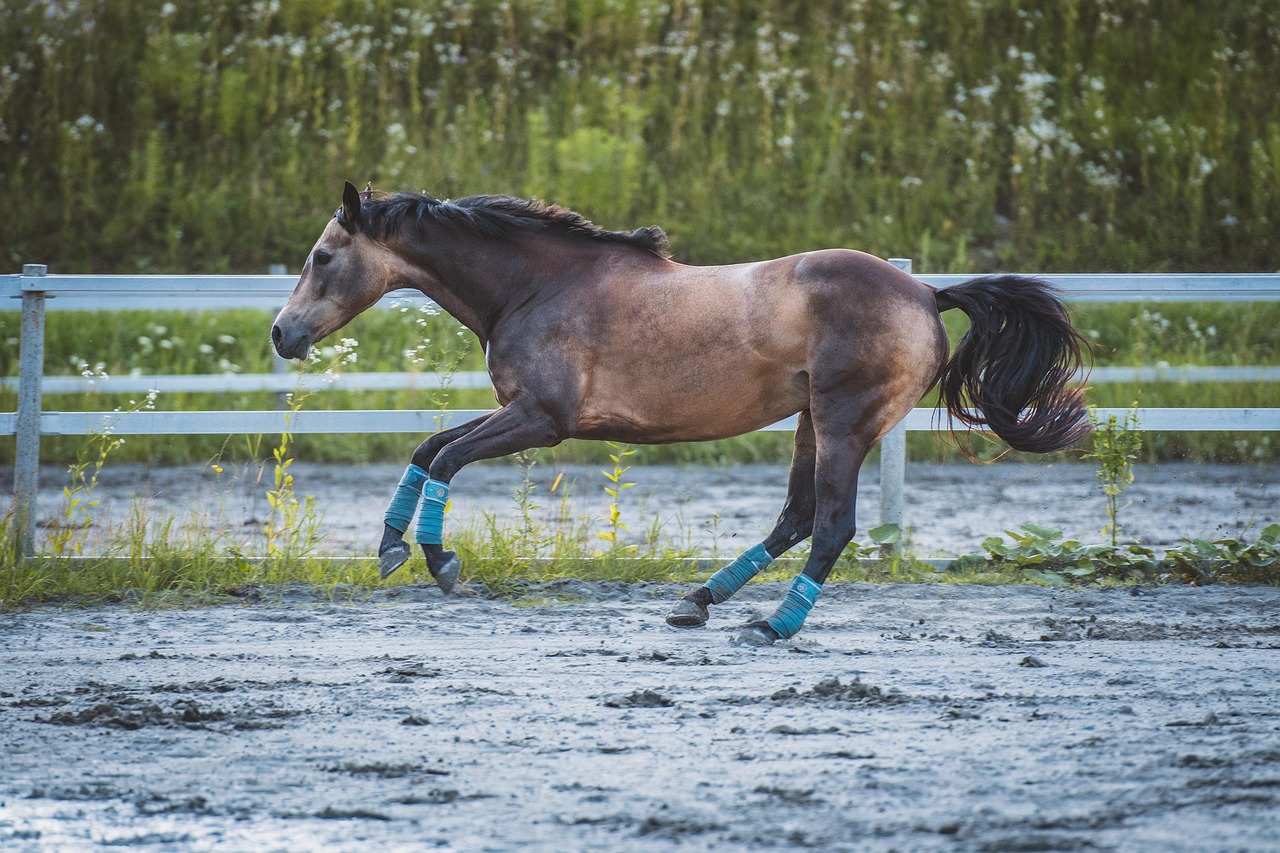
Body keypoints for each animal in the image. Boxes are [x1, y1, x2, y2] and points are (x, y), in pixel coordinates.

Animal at [272, 181, 1089, 645]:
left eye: (322, 257)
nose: (282, 334)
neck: (536, 285)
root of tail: (927, 292)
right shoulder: (520, 412)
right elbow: (426, 448)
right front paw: (390, 544)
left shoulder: (543, 419)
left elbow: (444, 455)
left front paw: (440, 561)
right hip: (811, 422)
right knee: (795, 519)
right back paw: (698, 602)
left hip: (846, 422)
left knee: (830, 526)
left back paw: (772, 625)